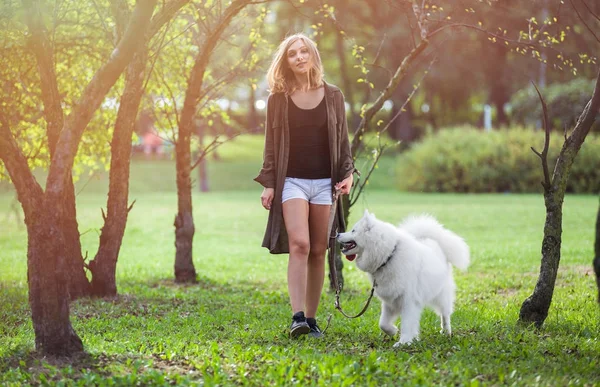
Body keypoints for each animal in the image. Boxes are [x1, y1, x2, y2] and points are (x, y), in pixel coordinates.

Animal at [338, 212, 468, 348]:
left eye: (353, 230)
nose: (337, 234)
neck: (388, 256)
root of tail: (434, 242)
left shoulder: (409, 301)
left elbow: (407, 324)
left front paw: (404, 342)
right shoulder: (390, 301)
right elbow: (383, 323)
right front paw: (393, 331)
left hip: (441, 295)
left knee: (445, 314)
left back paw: (446, 331)